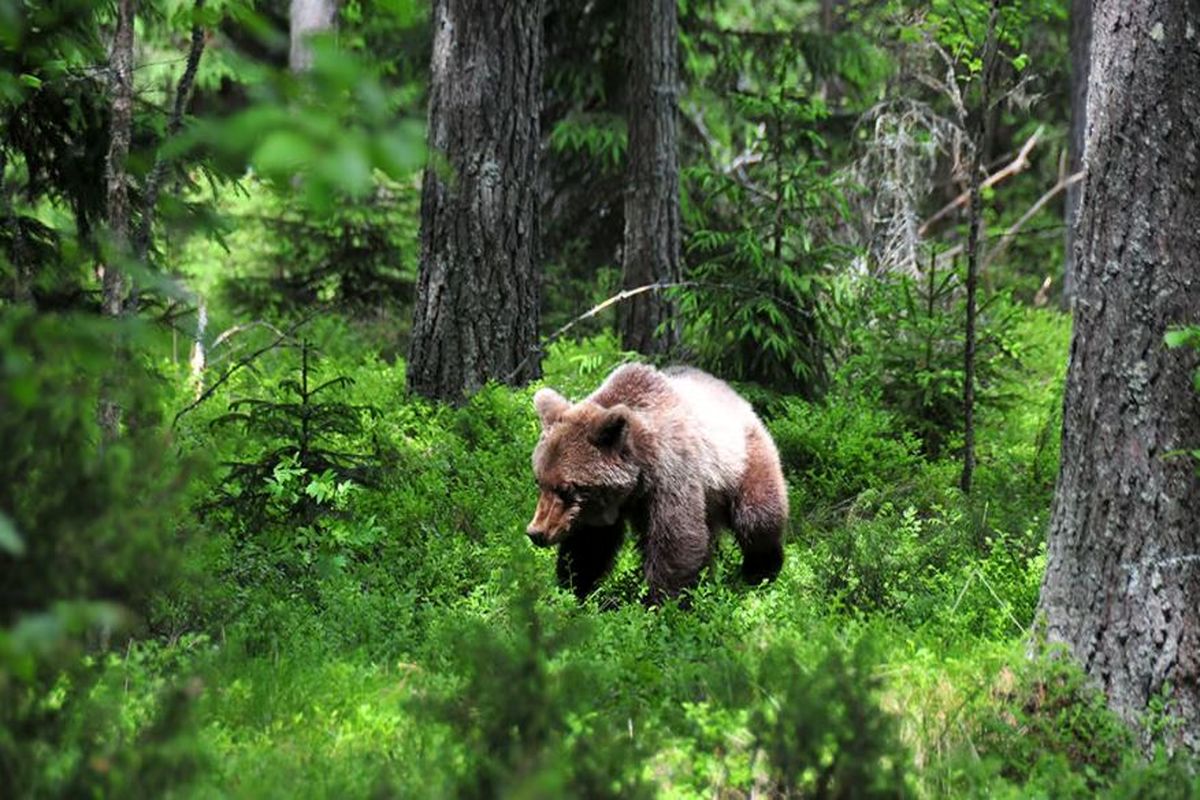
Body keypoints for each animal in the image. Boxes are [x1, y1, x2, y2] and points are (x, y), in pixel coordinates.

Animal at [525, 359, 787, 604]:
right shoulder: (597, 509)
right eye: (539, 480)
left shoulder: (671, 475)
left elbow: (675, 539)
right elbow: (588, 546)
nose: (536, 532)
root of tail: (737, 397)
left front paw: (662, 603)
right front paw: (571, 591)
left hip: (743, 462)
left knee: (757, 519)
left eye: (566, 487)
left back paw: (760, 572)